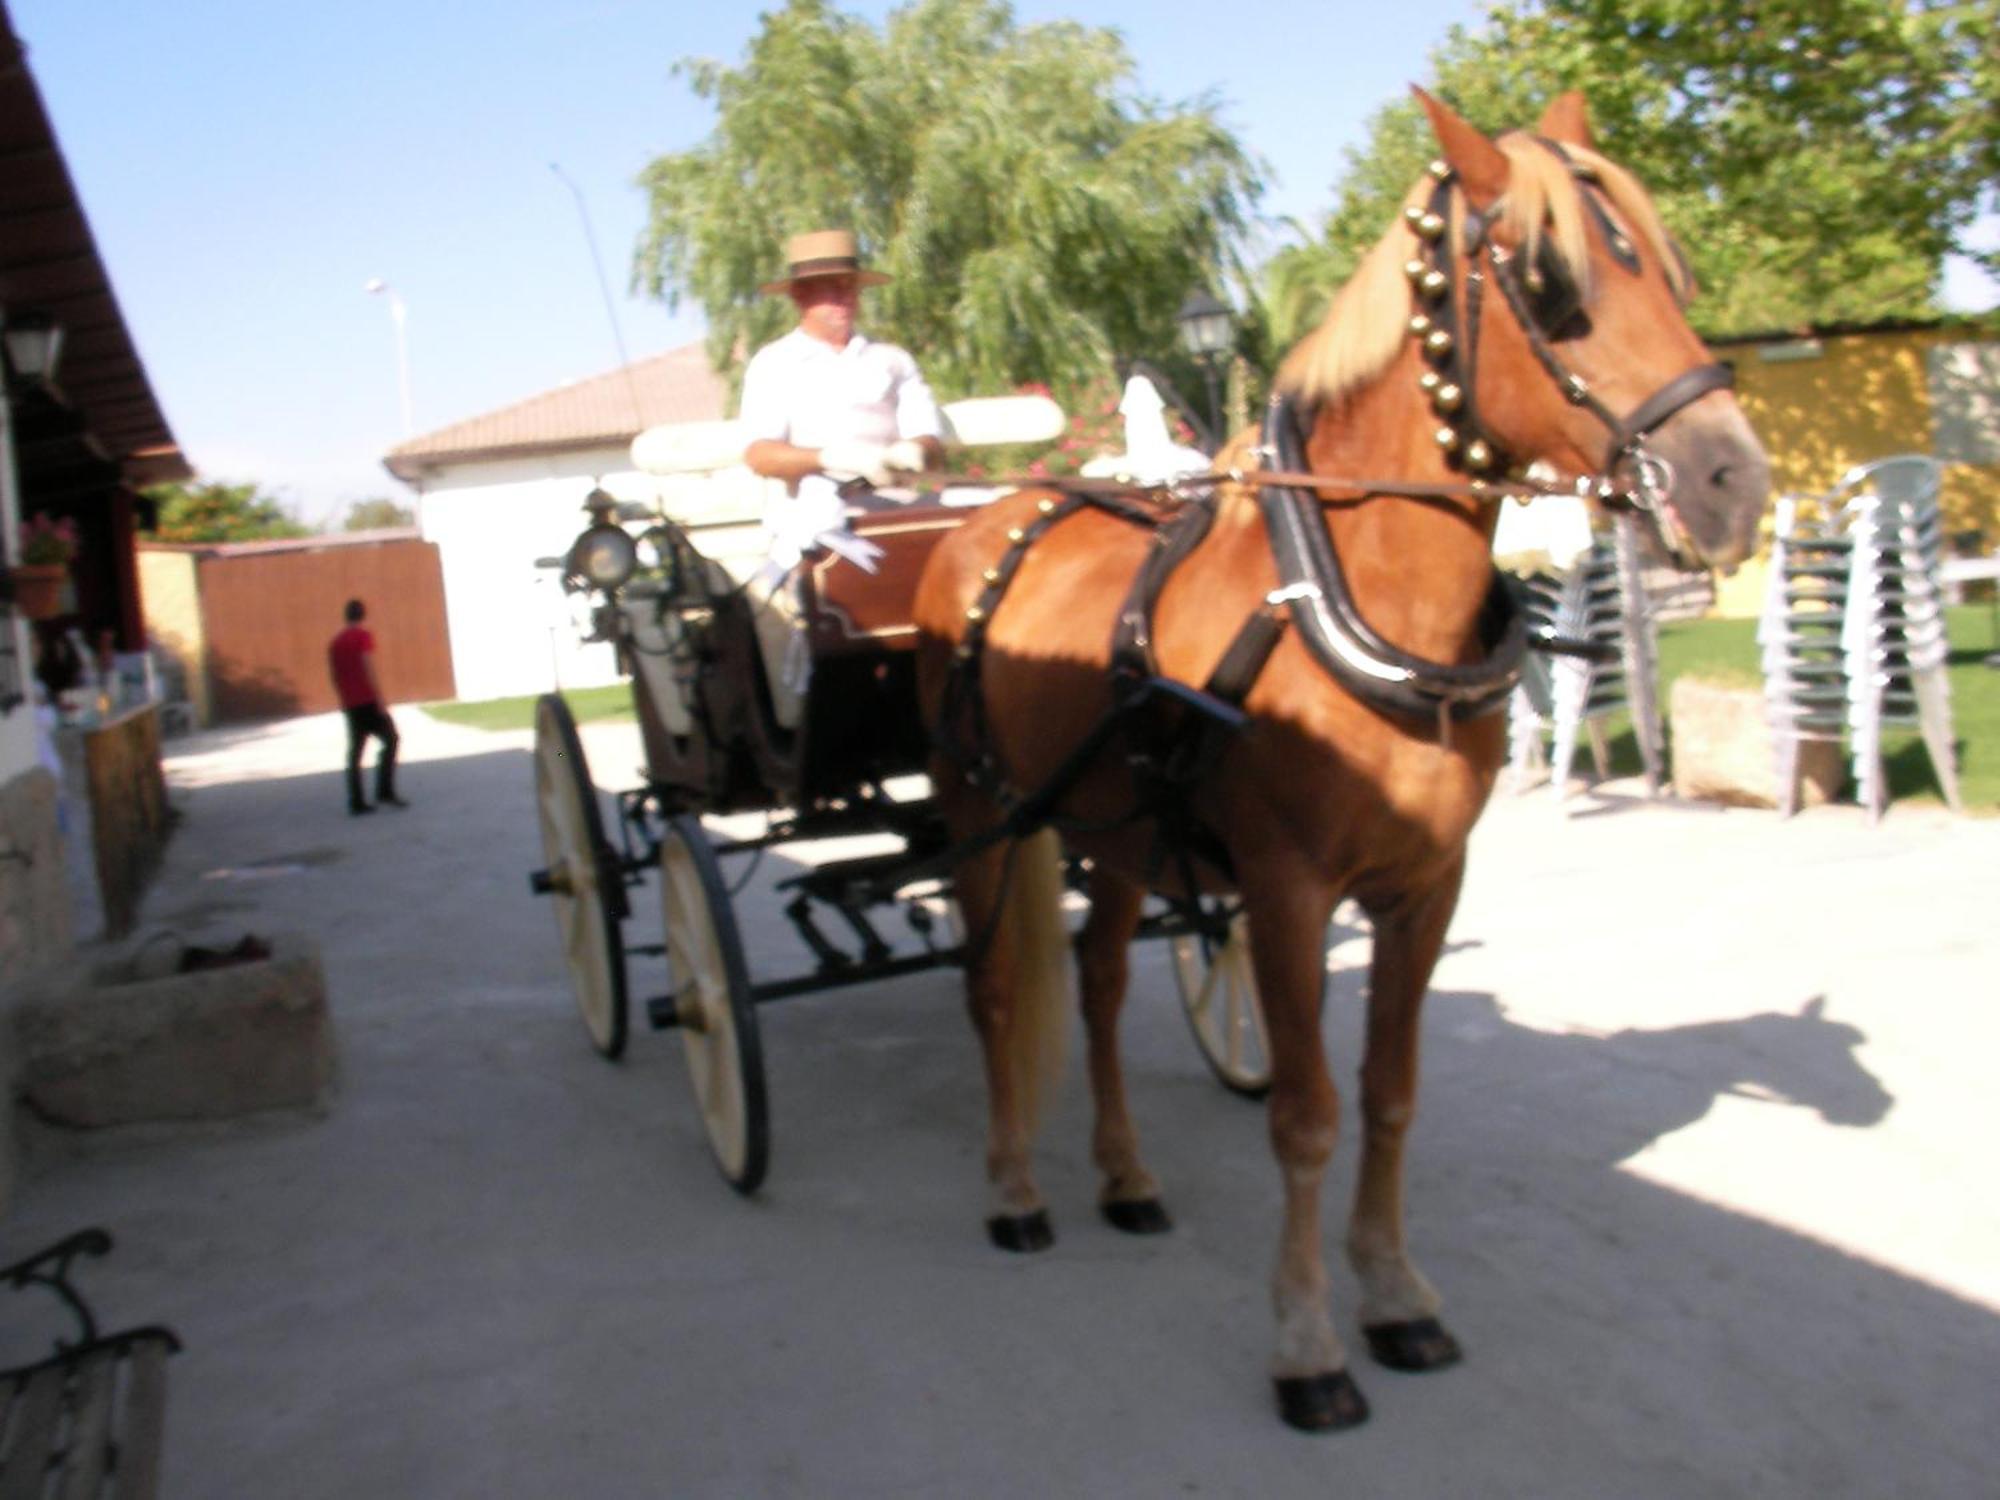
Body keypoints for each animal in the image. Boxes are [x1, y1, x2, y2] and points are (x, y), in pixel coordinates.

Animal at [916, 91, 1776, 1432]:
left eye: (1669, 268)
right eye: (1549, 284)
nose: (1729, 482)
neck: (1349, 601)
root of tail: (998, 513)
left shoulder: (1423, 888)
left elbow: (1388, 1094)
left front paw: (1394, 1295)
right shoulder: (1283, 894)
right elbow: (1307, 1116)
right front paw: (1308, 1341)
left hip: (1117, 830)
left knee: (1098, 986)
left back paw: (1124, 1176)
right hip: (983, 815)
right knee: (994, 989)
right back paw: (1014, 1189)